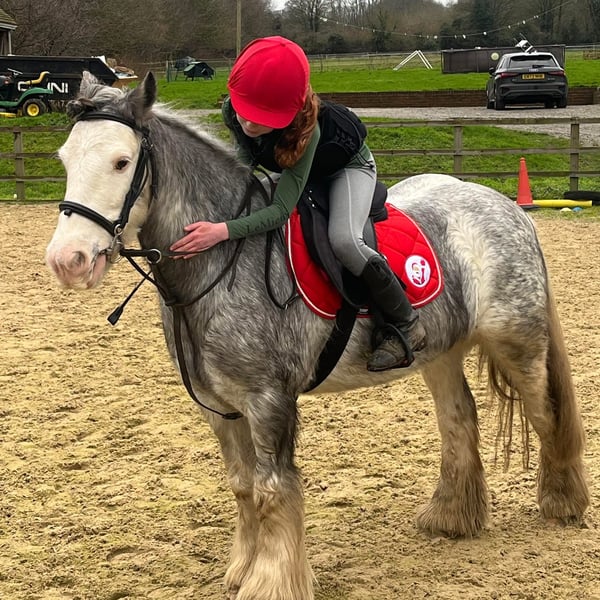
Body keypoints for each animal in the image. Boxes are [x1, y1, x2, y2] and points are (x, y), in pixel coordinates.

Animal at [45, 72, 589, 600]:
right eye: (65, 158)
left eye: (121, 163)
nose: (68, 261)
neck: (223, 264)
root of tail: (504, 206)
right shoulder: (217, 406)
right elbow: (242, 486)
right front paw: (240, 570)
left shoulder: (268, 401)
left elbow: (272, 490)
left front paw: (270, 583)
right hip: (440, 354)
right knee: (459, 420)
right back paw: (452, 517)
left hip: (520, 344)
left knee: (546, 413)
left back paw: (562, 502)